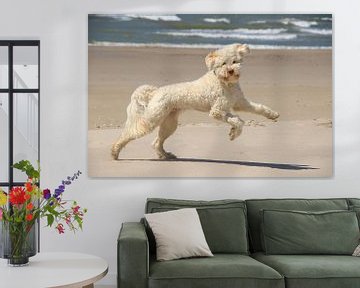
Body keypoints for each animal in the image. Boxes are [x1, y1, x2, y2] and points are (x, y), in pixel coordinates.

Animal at [111, 43, 280, 160]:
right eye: (223, 64)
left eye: (234, 61)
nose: (231, 71)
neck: (225, 82)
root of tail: (155, 92)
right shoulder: (217, 111)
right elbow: (238, 121)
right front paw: (233, 133)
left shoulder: (240, 103)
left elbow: (258, 108)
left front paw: (272, 114)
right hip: (152, 119)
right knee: (131, 132)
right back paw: (115, 151)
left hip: (169, 123)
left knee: (156, 142)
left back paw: (165, 155)